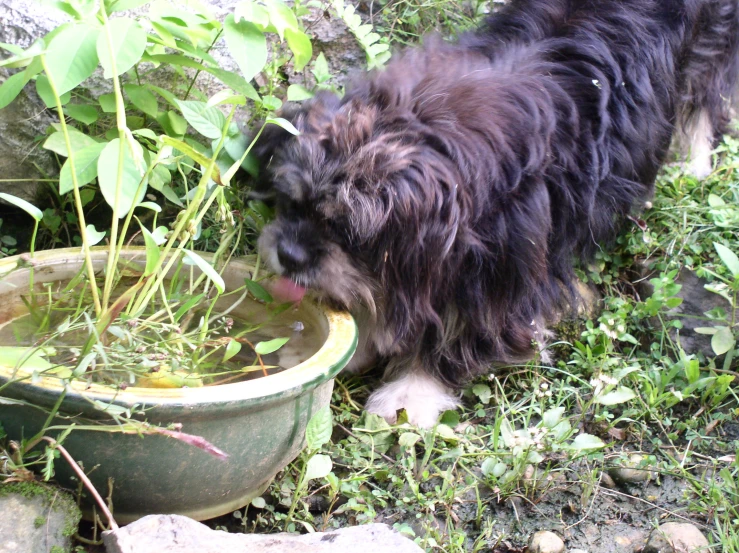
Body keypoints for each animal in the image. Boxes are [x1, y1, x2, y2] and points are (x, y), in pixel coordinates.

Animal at [253, 0, 739, 426]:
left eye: (350, 232)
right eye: (291, 201)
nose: (289, 255)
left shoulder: (504, 275)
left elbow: (460, 332)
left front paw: (411, 390)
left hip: (712, 39)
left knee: (705, 96)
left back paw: (693, 164)